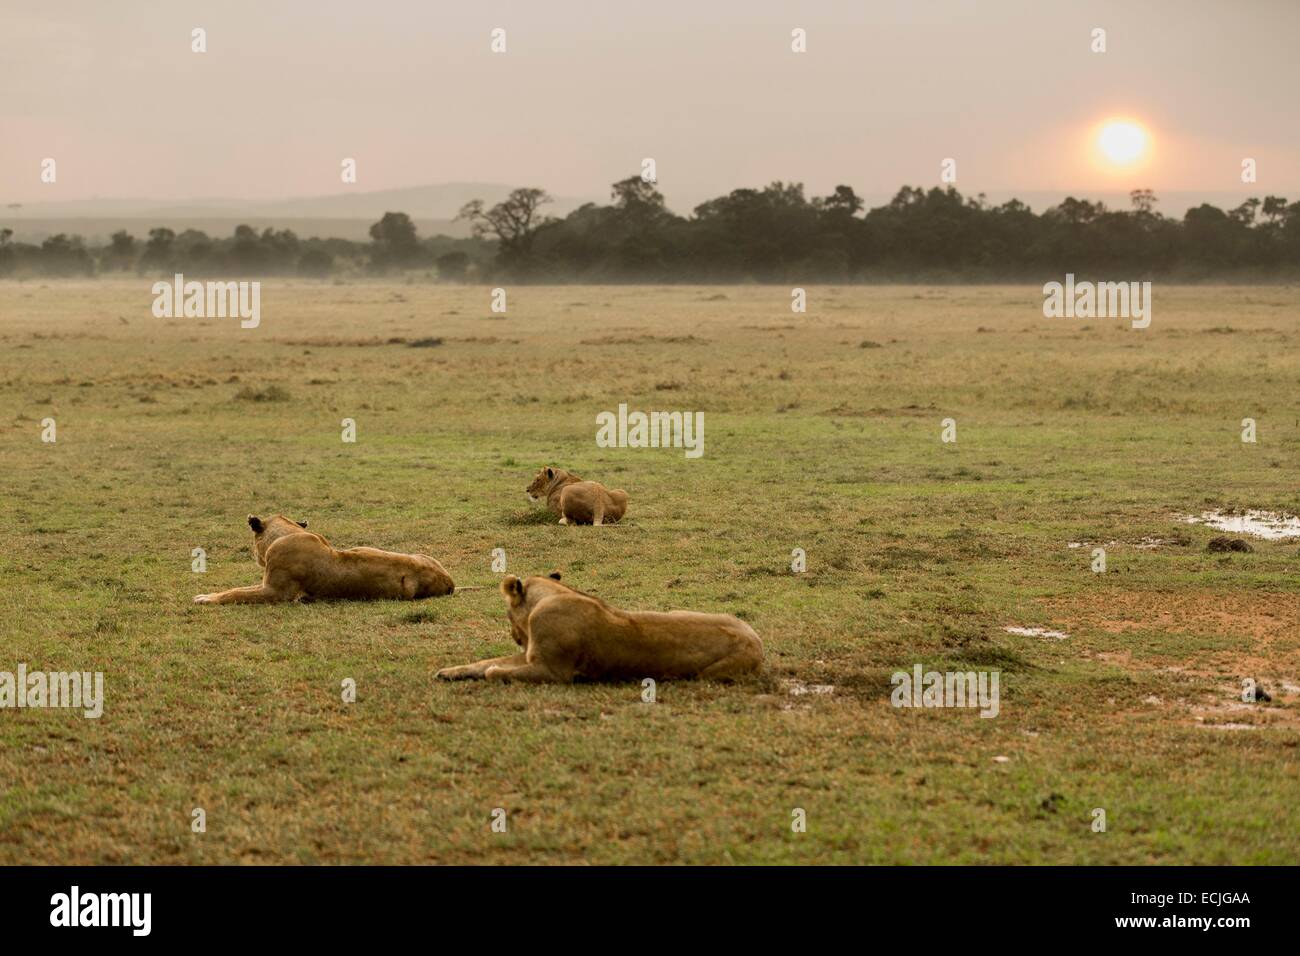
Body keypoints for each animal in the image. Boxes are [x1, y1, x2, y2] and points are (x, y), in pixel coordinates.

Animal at [193, 514, 455, 604]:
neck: (288, 532)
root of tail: (450, 581)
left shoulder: (275, 592)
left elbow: (236, 593)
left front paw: (205, 599)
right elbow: (236, 589)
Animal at [434, 573, 762, 683]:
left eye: (507, 615)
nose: (514, 637)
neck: (553, 594)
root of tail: (756, 639)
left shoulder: (553, 672)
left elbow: (494, 671)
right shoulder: (530, 656)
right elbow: (485, 662)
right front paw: (449, 672)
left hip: (708, 674)